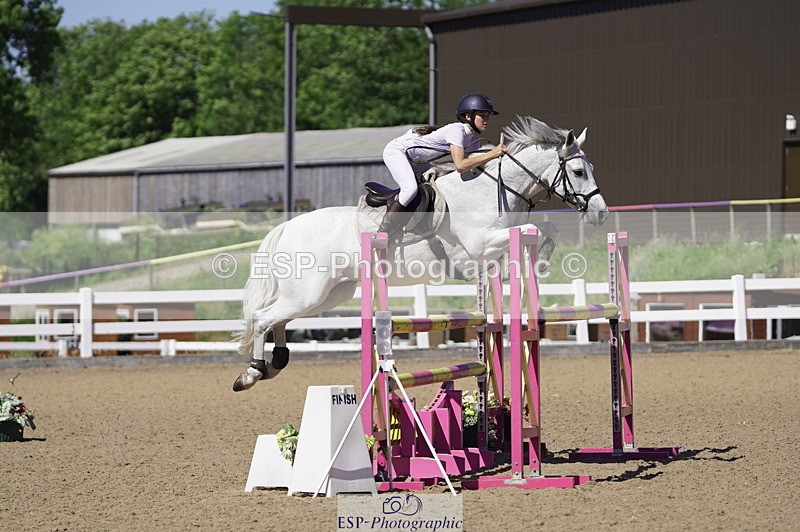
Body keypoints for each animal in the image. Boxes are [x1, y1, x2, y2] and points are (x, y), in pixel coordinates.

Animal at [232, 115, 609, 391]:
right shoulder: (481, 241)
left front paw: (529, 267)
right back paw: (252, 373)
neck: (494, 189)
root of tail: (286, 228)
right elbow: (534, 231)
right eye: (578, 171)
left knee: (278, 318)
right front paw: (535, 264)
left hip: (330, 294)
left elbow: (548, 229)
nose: (601, 213)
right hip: (309, 293)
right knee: (263, 318)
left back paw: (276, 362)